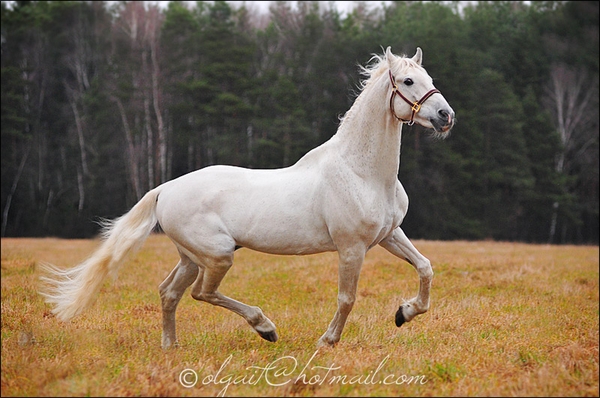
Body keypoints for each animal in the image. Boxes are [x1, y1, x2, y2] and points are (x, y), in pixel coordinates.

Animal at [39, 47, 454, 348]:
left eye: (430, 79)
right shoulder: (352, 247)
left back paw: (171, 346)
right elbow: (347, 298)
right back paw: (265, 328)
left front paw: (405, 312)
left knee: (169, 292)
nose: (445, 116)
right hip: (217, 255)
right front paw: (328, 341)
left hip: (192, 257)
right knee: (201, 293)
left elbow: (426, 267)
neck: (361, 172)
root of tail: (164, 190)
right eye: (408, 80)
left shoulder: (388, 235)